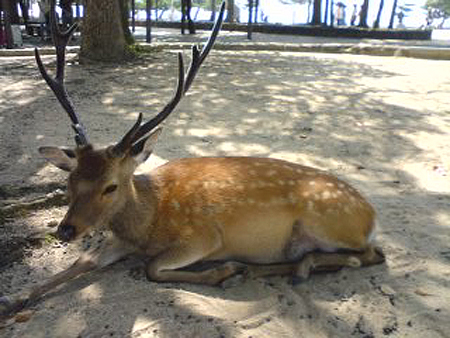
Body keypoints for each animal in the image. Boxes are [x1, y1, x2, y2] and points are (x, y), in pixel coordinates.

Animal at [0, 0, 384, 316]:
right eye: (69, 181)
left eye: (110, 186)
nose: (66, 229)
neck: (147, 223)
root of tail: (371, 214)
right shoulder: (118, 241)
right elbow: (80, 262)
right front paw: (12, 300)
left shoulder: (203, 236)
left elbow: (153, 268)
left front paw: (224, 271)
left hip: (328, 222)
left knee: (369, 255)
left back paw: (276, 268)